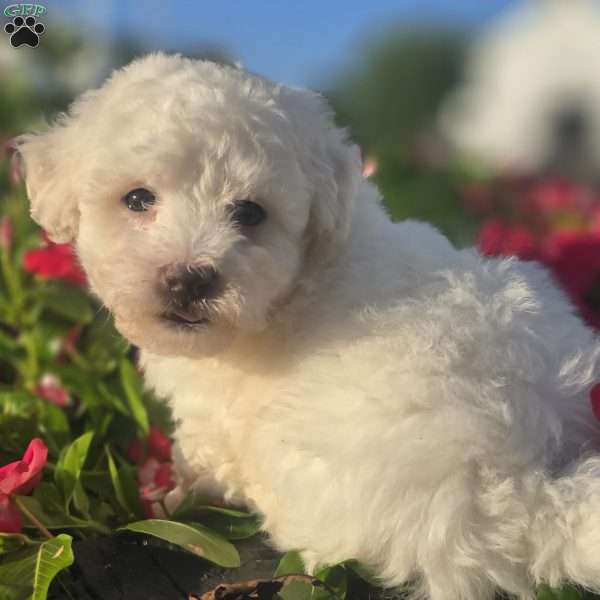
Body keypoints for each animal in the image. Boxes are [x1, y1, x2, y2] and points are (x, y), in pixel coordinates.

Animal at [16, 54, 600, 596]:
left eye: (250, 213)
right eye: (137, 199)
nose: (188, 278)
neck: (297, 283)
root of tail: (526, 493)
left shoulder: (217, 413)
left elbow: (201, 453)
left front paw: (175, 491)